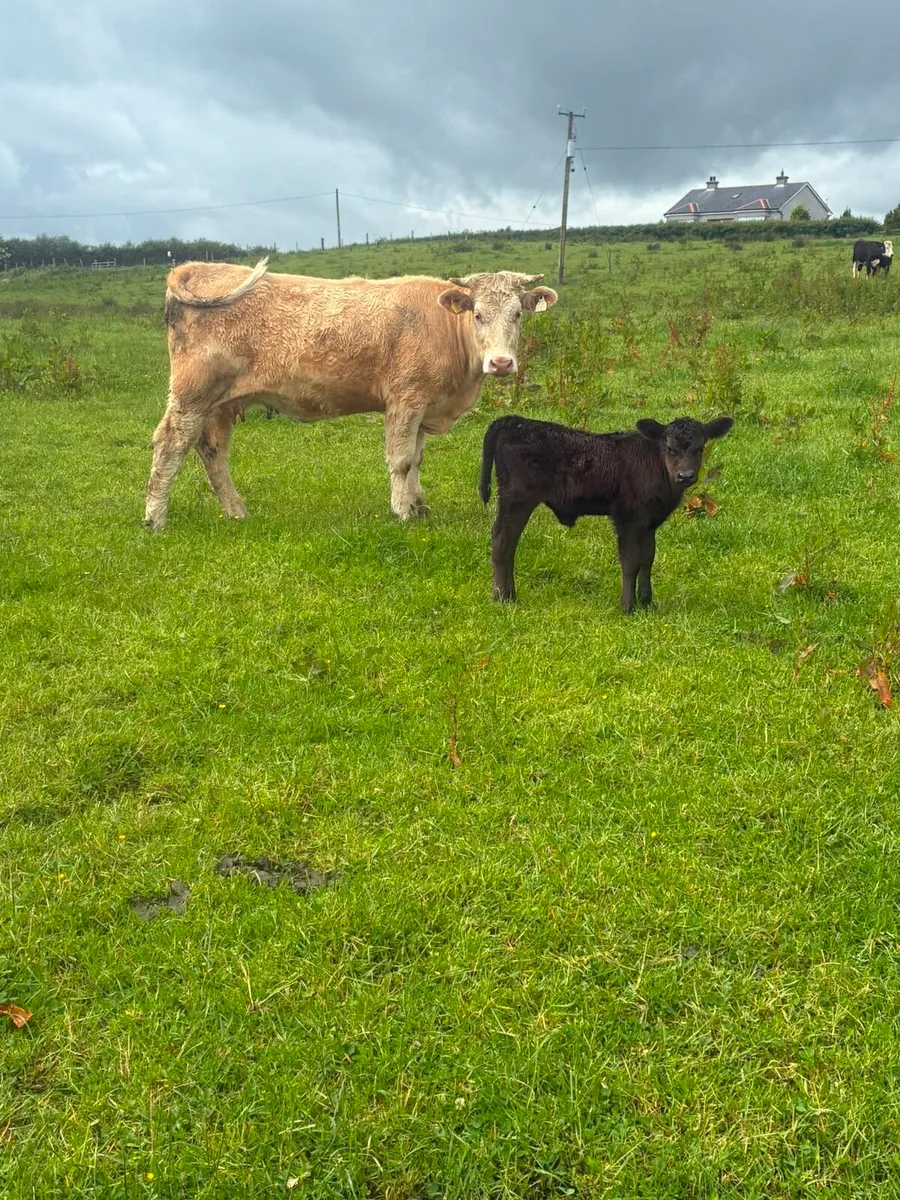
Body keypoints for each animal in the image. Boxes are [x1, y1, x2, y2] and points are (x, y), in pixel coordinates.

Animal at [143, 260, 558, 531]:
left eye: (518, 314)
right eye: (478, 315)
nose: (501, 363)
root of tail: (200, 266)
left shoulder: (424, 405)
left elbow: (418, 458)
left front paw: (419, 506)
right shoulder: (405, 400)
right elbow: (401, 460)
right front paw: (401, 512)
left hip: (222, 403)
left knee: (212, 450)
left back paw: (237, 512)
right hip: (191, 394)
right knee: (170, 443)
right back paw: (155, 518)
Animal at [479, 413, 734, 612]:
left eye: (700, 448)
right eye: (669, 448)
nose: (686, 476)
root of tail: (517, 422)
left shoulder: (649, 522)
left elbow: (647, 559)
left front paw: (647, 603)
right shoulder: (627, 517)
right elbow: (630, 561)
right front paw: (628, 607)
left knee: (509, 545)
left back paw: (509, 594)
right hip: (516, 499)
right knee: (501, 541)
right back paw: (502, 597)